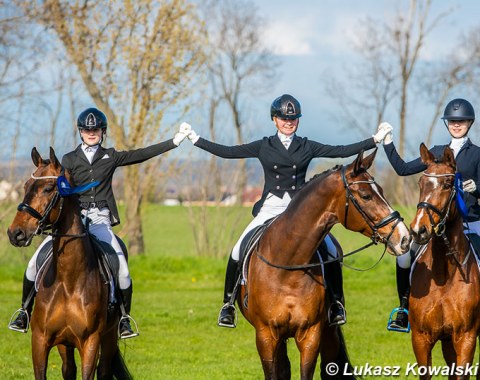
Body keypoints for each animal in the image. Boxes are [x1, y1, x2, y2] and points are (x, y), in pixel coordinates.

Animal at [7, 148, 131, 380]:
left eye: (48, 188)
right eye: (26, 186)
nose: (15, 233)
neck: (68, 280)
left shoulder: (90, 342)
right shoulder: (40, 341)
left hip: (109, 337)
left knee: (104, 370)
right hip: (64, 343)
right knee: (68, 369)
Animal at [238, 149, 410, 380]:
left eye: (381, 191)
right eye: (366, 196)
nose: (404, 238)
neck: (289, 265)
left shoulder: (311, 334)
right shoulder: (266, 335)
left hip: (329, 333)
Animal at [406, 143, 480, 380]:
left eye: (448, 184)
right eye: (421, 183)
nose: (418, 230)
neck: (443, 274)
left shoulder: (466, 338)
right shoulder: (421, 338)